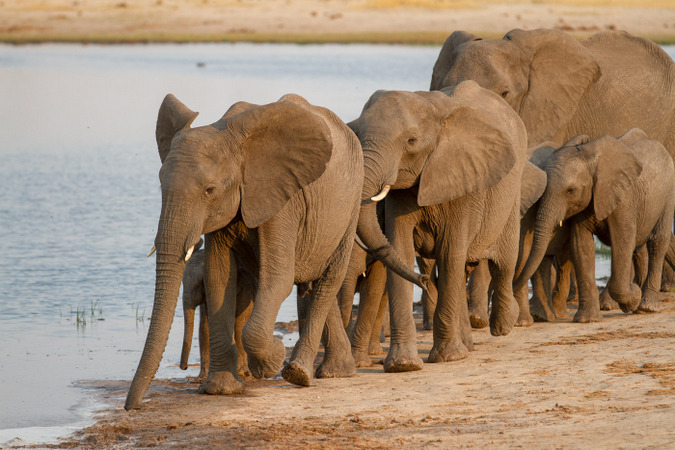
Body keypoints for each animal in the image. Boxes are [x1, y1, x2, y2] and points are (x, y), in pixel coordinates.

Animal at [129, 93, 368, 410]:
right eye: (160, 185)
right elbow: (218, 279)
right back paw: (337, 371)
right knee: (316, 284)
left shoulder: (281, 199)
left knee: (329, 279)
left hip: (351, 205)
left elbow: (278, 277)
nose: (132, 406)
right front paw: (221, 389)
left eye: (209, 190)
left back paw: (299, 373)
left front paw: (271, 360)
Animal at [352, 80, 532, 372]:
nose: (423, 280)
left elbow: (450, 254)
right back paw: (467, 346)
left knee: (502, 263)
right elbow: (401, 251)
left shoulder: (465, 180)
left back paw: (504, 325)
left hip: (509, 193)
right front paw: (403, 365)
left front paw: (447, 358)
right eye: (357, 133)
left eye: (411, 141)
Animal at [516, 128, 675, 322]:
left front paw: (633, 299)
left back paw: (646, 307)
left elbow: (622, 242)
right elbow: (581, 245)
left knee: (657, 243)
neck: (588, 157)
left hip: (667, 193)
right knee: (640, 248)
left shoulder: (625, 199)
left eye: (570, 190)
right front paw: (587, 319)